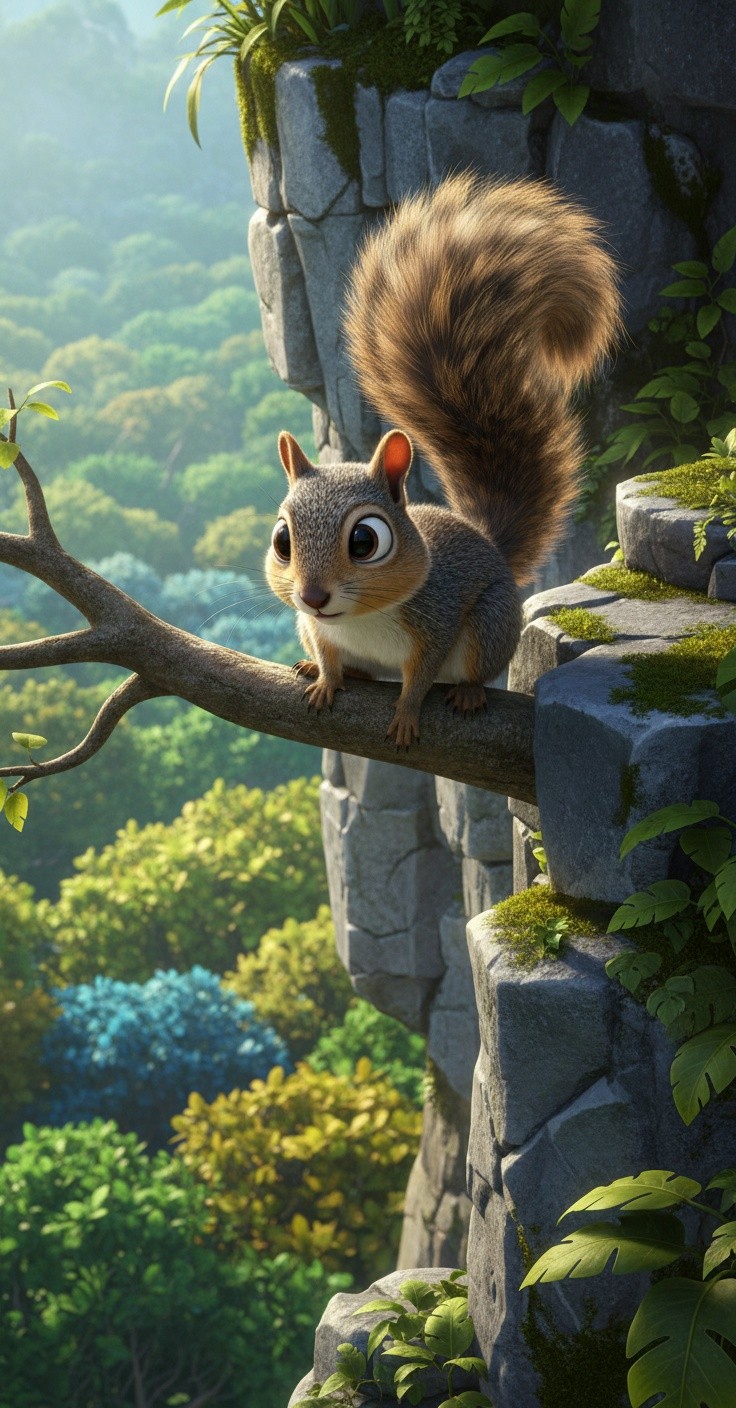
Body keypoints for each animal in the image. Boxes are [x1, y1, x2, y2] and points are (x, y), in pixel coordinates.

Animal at [266, 173, 620, 747]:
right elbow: (329, 654)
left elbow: (420, 677)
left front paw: (408, 714)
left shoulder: (438, 619)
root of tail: (491, 547)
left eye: (365, 541)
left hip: (489, 623)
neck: (359, 618)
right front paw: (325, 678)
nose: (314, 596)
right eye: (282, 541)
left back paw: (470, 692)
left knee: (474, 666)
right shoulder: (316, 628)